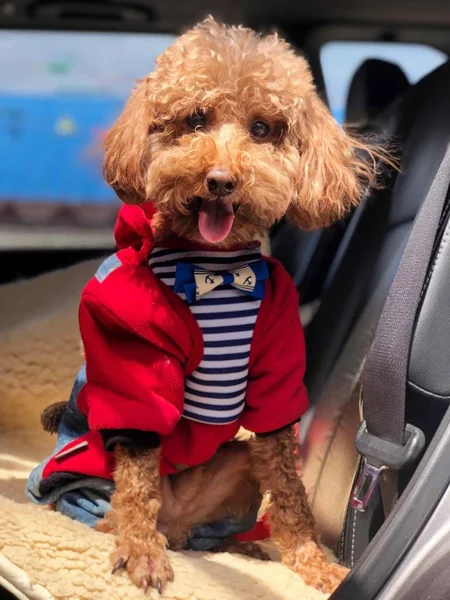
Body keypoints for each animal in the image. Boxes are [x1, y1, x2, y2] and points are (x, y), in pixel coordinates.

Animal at [35, 17, 382, 596]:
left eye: (263, 128)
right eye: (195, 119)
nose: (220, 181)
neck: (214, 273)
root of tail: (178, 524)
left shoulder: (276, 372)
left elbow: (291, 494)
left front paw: (314, 563)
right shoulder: (136, 367)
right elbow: (137, 482)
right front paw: (140, 550)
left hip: (237, 468)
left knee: (215, 529)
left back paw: (242, 546)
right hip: (89, 481)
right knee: (118, 505)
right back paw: (143, 537)